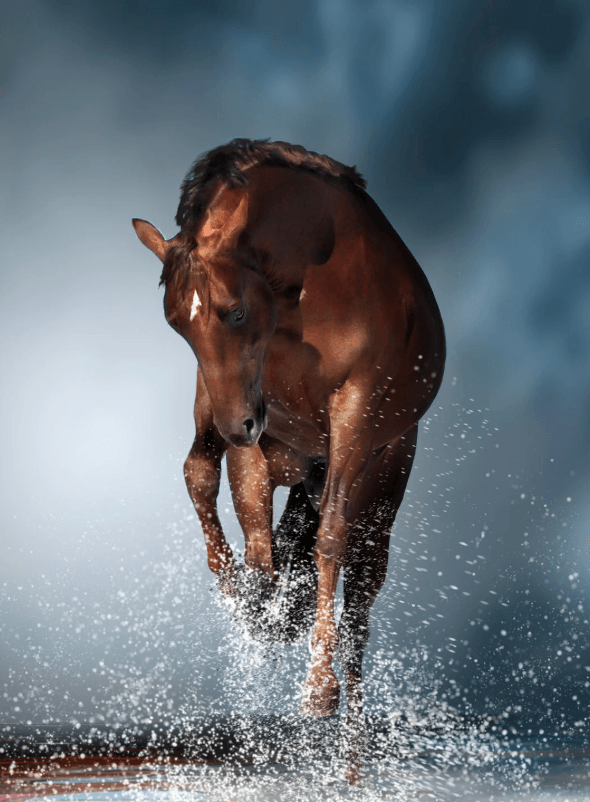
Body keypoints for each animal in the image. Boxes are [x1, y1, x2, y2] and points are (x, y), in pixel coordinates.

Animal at [132, 138, 445, 781]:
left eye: (233, 311)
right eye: (177, 324)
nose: (240, 427)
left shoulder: (353, 415)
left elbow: (327, 540)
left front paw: (318, 690)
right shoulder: (237, 406)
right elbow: (222, 497)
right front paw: (248, 599)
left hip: (384, 482)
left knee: (358, 612)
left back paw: (350, 752)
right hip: (278, 450)